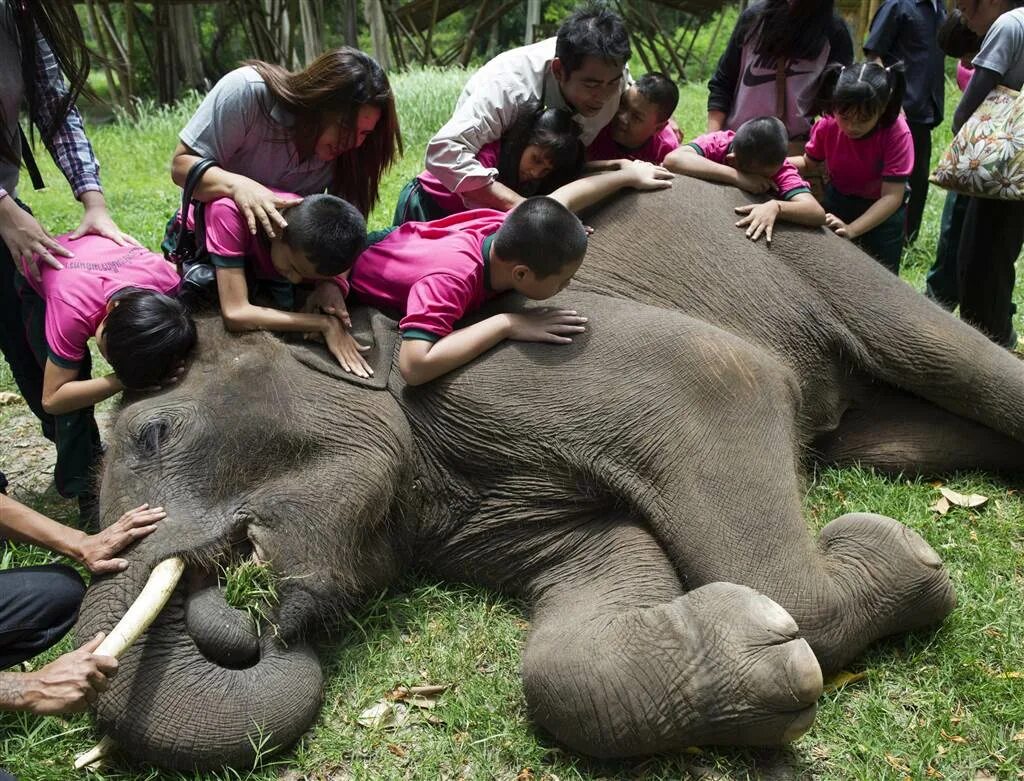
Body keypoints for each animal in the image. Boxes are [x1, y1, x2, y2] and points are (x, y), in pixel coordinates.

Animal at [74, 177, 1024, 769]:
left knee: (947, 354)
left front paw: (898, 559)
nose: (241, 613)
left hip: (811, 249)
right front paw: (762, 657)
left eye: (153, 433)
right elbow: (595, 583)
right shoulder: (476, 506)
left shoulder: (521, 358)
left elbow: (721, 374)